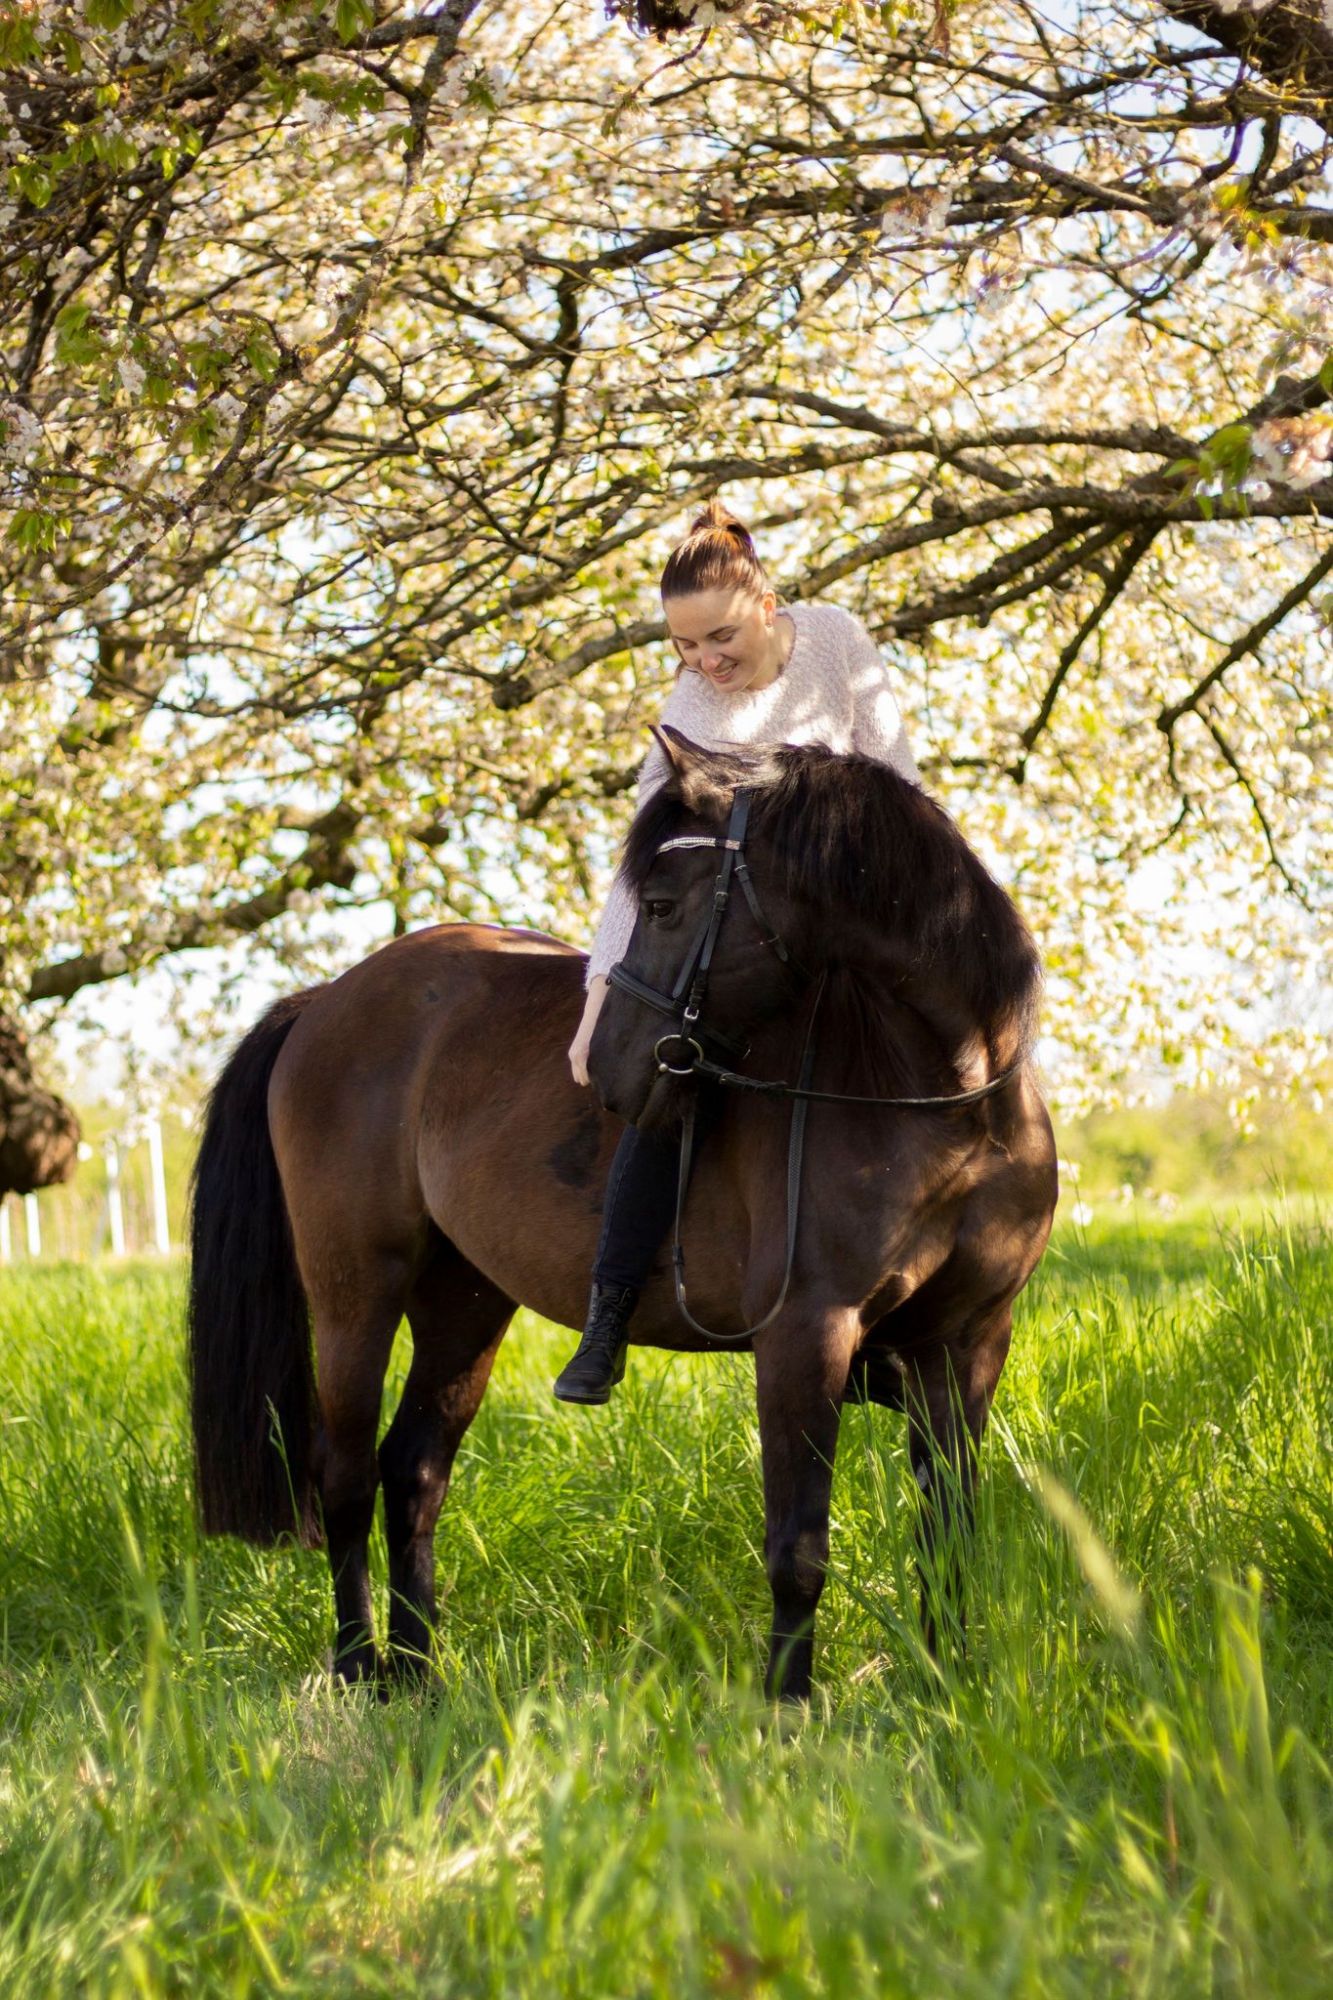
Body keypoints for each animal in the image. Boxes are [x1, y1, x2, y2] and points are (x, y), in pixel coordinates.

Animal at [188, 728, 1058, 1700]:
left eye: (664, 903)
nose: (603, 1067)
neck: (950, 1109)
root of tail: (326, 999)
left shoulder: (968, 1344)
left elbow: (948, 1534)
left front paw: (945, 1692)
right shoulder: (805, 1337)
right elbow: (798, 1549)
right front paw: (788, 1706)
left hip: (464, 1300)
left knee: (412, 1470)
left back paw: (418, 1673)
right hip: (354, 1295)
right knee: (342, 1477)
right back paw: (356, 1668)